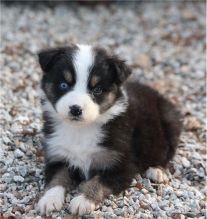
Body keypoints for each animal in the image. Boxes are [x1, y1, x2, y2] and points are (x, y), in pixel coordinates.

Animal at [37, 43, 183, 215]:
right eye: (63, 85)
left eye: (97, 90)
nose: (75, 109)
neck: (81, 129)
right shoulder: (57, 155)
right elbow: (57, 178)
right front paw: (49, 199)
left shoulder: (121, 164)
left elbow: (98, 181)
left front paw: (82, 200)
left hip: (170, 121)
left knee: (166, 153)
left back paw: (157, 170)